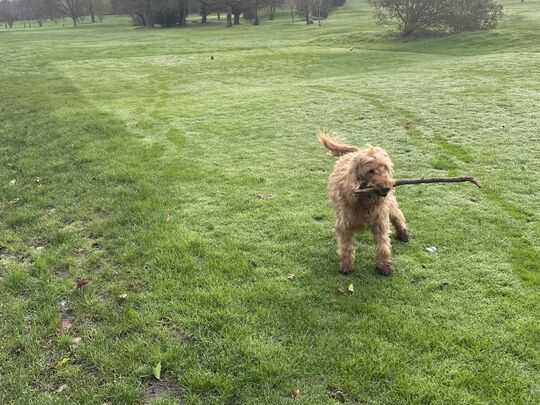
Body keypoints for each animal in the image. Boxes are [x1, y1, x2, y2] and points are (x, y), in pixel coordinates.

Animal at [316, 131, 410, 276]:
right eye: (371, 171)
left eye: (385, 167)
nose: (387, 188)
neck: (365, 200)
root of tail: (356, 151)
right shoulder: (344, 225)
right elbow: (346, 246)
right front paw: (346, 265)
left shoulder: (380, 222)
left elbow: (383, 246)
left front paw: (385, 266)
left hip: (391, 205)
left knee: (397, 215)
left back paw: (403, 234)